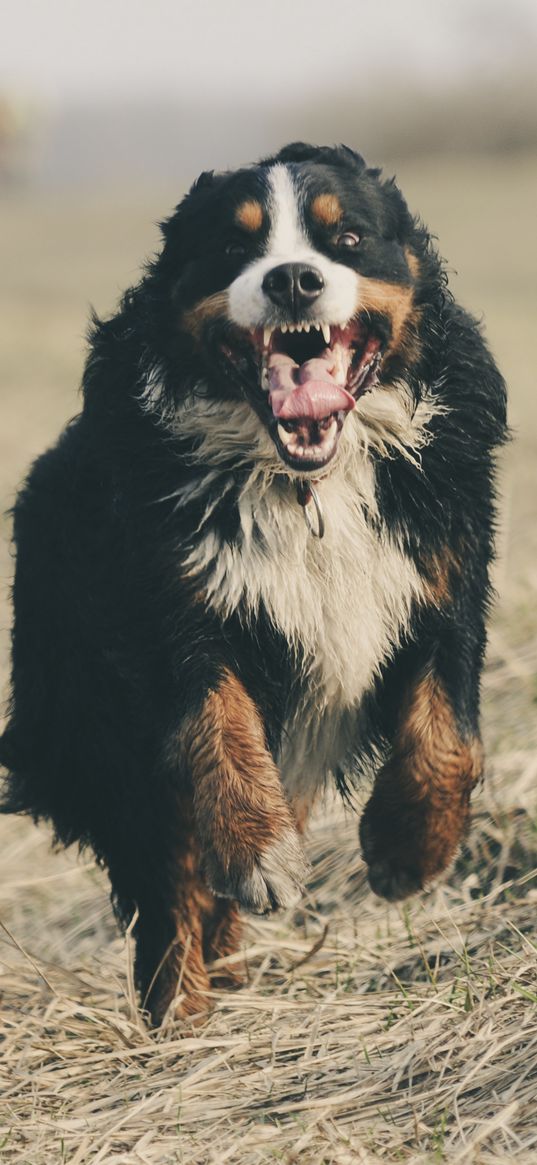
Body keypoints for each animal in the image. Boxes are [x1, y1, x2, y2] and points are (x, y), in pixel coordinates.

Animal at [0, 143, 505, 1020]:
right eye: (234, 246)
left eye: (346, 238)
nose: (293, 279)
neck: (307, 484)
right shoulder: (171, 609)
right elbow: (218, 728)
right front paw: (258, 852)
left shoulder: (443, 578)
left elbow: (450, 737)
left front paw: (406, 849)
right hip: (101, 725)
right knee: (169, 877)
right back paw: (183, 1013)